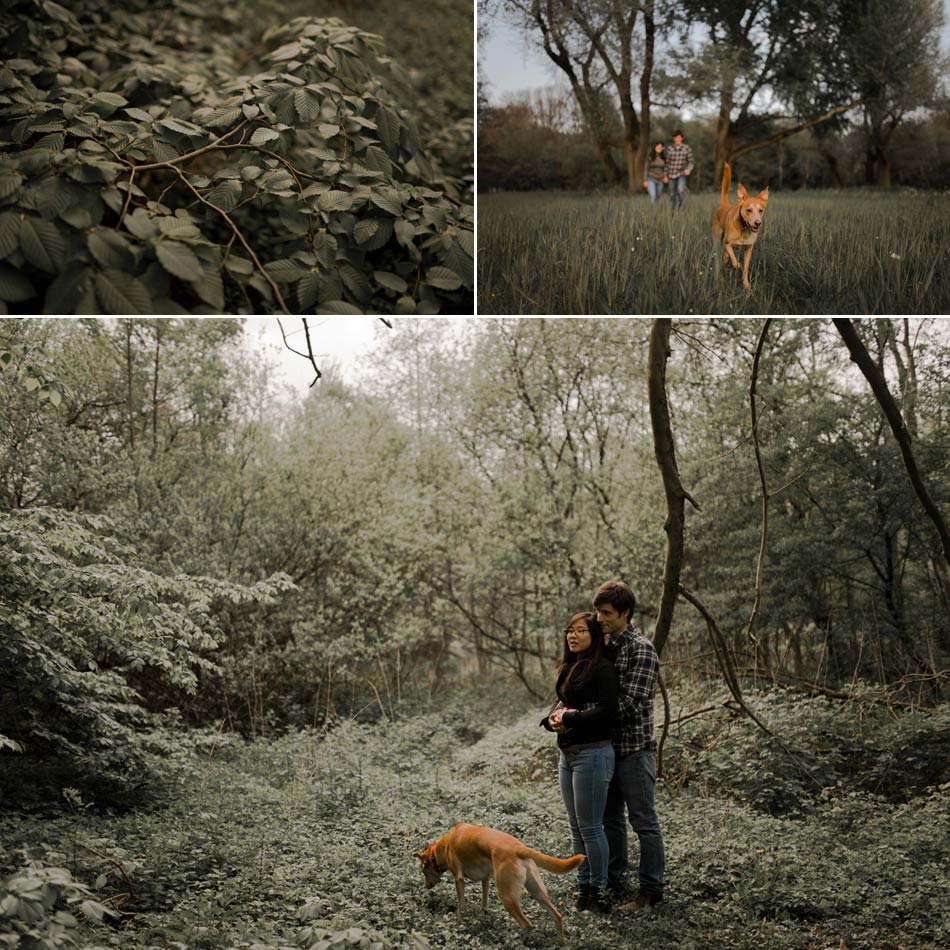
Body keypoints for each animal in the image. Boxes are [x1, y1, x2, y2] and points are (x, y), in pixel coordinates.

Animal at [412, 820, 584, 948]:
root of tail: (519, 848)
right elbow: (484, 899)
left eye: (424, 872)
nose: (425, 887)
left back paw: (517, 942)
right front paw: (485, 913)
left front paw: (459, 923)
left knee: (527, 924)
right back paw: (561, 942)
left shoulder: (458, 880)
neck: (443, 846)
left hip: (506, 896)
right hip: (537, 891)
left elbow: (461, 905)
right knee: (557, 916)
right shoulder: (486, 878)